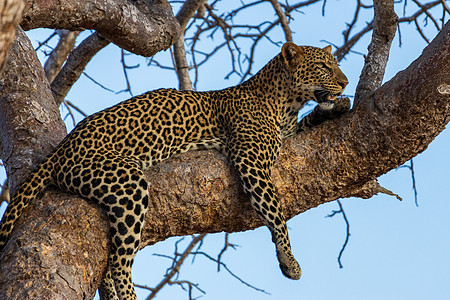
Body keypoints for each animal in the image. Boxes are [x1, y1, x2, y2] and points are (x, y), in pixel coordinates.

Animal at [0, 42, 348, 300]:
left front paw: (338, 106)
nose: (345, 82)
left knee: (110, 264)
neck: (286, 103)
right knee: (118, 263)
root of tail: (60, 150)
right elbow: (276, 212)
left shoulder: (288, 133)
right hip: (127, 182)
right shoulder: (251, 160)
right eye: (323, 66)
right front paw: (289, 260)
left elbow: (309, 122)